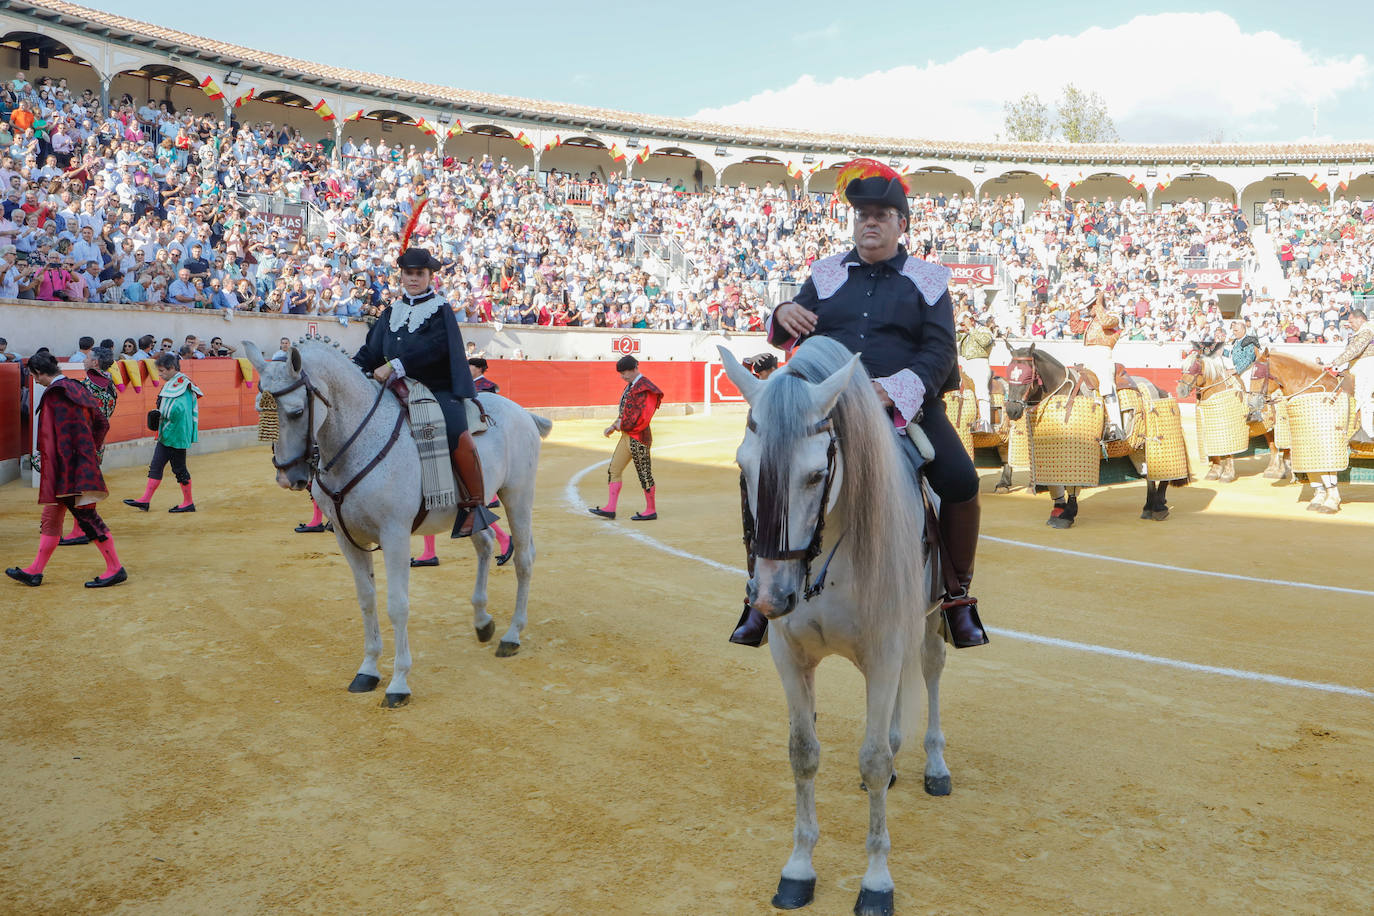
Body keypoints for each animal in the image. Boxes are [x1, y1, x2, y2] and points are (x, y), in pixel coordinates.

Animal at [247, 340, 552, 708]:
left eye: (295, 412)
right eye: (259, 409)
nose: (287, 477)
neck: (356, 444)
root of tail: (522, 412)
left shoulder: (394, 535)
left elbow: (397, 605)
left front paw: (398, 683)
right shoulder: (346, 539)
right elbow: (367, 600)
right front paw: (367, 671)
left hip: (518, 495)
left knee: (524, 558)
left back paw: (511, 635)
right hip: (469, 510)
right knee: (484, 545)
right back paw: (482, 622)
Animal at [719, 339, 956, 916]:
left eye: (812, 475)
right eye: (743, 466)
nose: (769, 596)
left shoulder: (887, 649)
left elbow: (870, 759)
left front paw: (876, 882)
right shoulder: (790, 656)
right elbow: (803, 753)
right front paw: (799, 869)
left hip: (932, 619)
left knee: (931, 672)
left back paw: (935, 765)